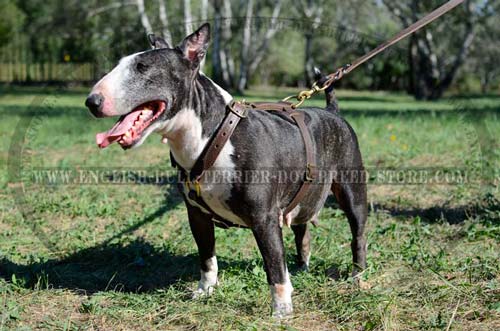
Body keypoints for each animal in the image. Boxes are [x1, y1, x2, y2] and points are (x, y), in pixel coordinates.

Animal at [86, 23, 368, 320]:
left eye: (142, 67)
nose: (92, 102)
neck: (212, 139)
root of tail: (332, 111)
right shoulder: (196, 215)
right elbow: (207, 256)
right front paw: (206, 290)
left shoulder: (264, 218)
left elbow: (274, 265)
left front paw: (281, 309)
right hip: (303, 195)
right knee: (302, 230)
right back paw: (301, 268)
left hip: (352, 191)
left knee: (358, 235)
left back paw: (357, 277)